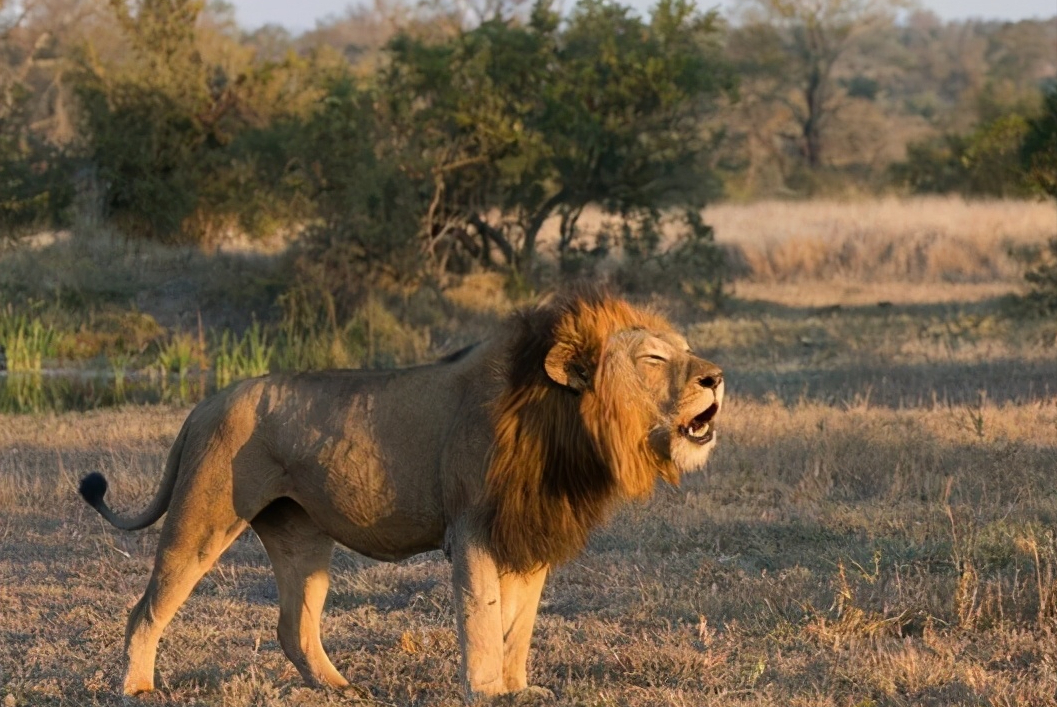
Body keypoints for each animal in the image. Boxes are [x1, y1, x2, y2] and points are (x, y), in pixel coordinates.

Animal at [78, 287, 722, 701]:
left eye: (686, 350)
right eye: (654, 358)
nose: (715, 377)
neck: (564, 427)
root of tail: (204, 404)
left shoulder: (527, 531)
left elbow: (519, 624)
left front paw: (520, 687)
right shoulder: (474, 529)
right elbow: (484, 617)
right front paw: (488, 692)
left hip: (300, 536)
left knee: (294, 626)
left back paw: (343, 689)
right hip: (204, 516)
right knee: (147, 608)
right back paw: (137, 688)